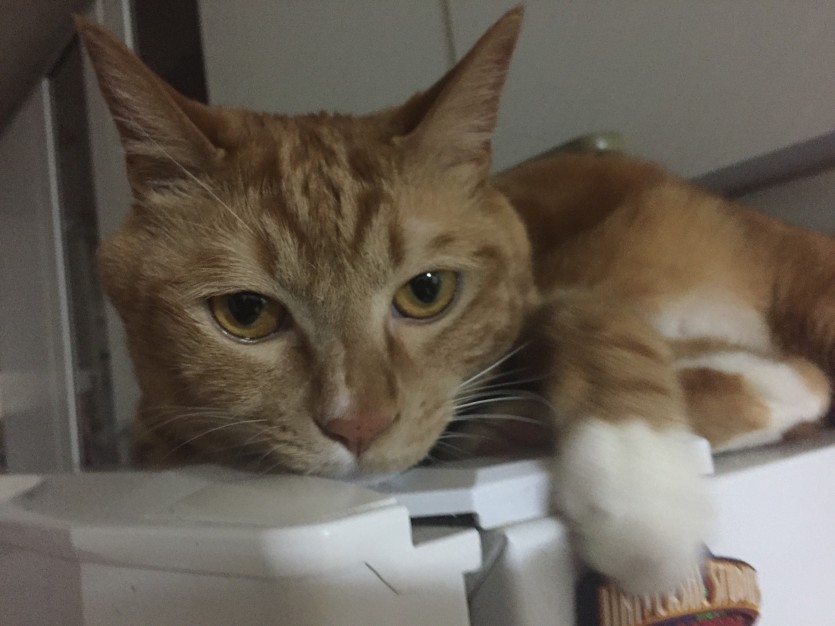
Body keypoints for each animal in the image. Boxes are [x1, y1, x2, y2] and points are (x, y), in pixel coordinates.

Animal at [76, 8, 834, 594]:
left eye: (426, 292)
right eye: (245, 314)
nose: (358, 425)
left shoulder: (552, 298)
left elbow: (590, 318)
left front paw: (640, 484)